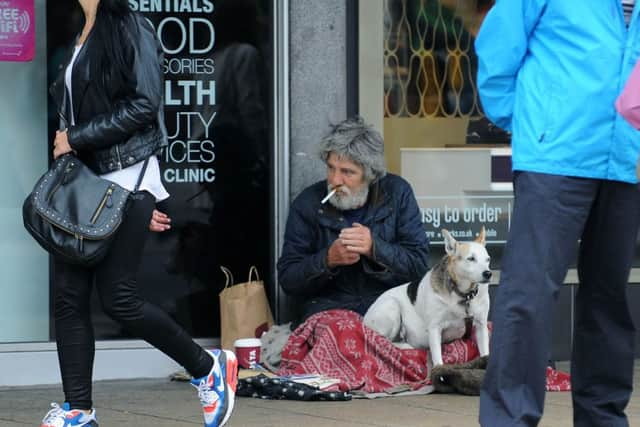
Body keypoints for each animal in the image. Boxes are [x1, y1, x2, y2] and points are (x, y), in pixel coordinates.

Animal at [362, 229, 492, 366]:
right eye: (471, 259)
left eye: (488, 259)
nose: (488, 274)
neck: (463, 294)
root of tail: (365, 317)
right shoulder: (435, 328)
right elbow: (438, 361)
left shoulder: (481, 326)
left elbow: (485, 353)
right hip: (392, 305)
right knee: (383, 340)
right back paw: (405, 346)